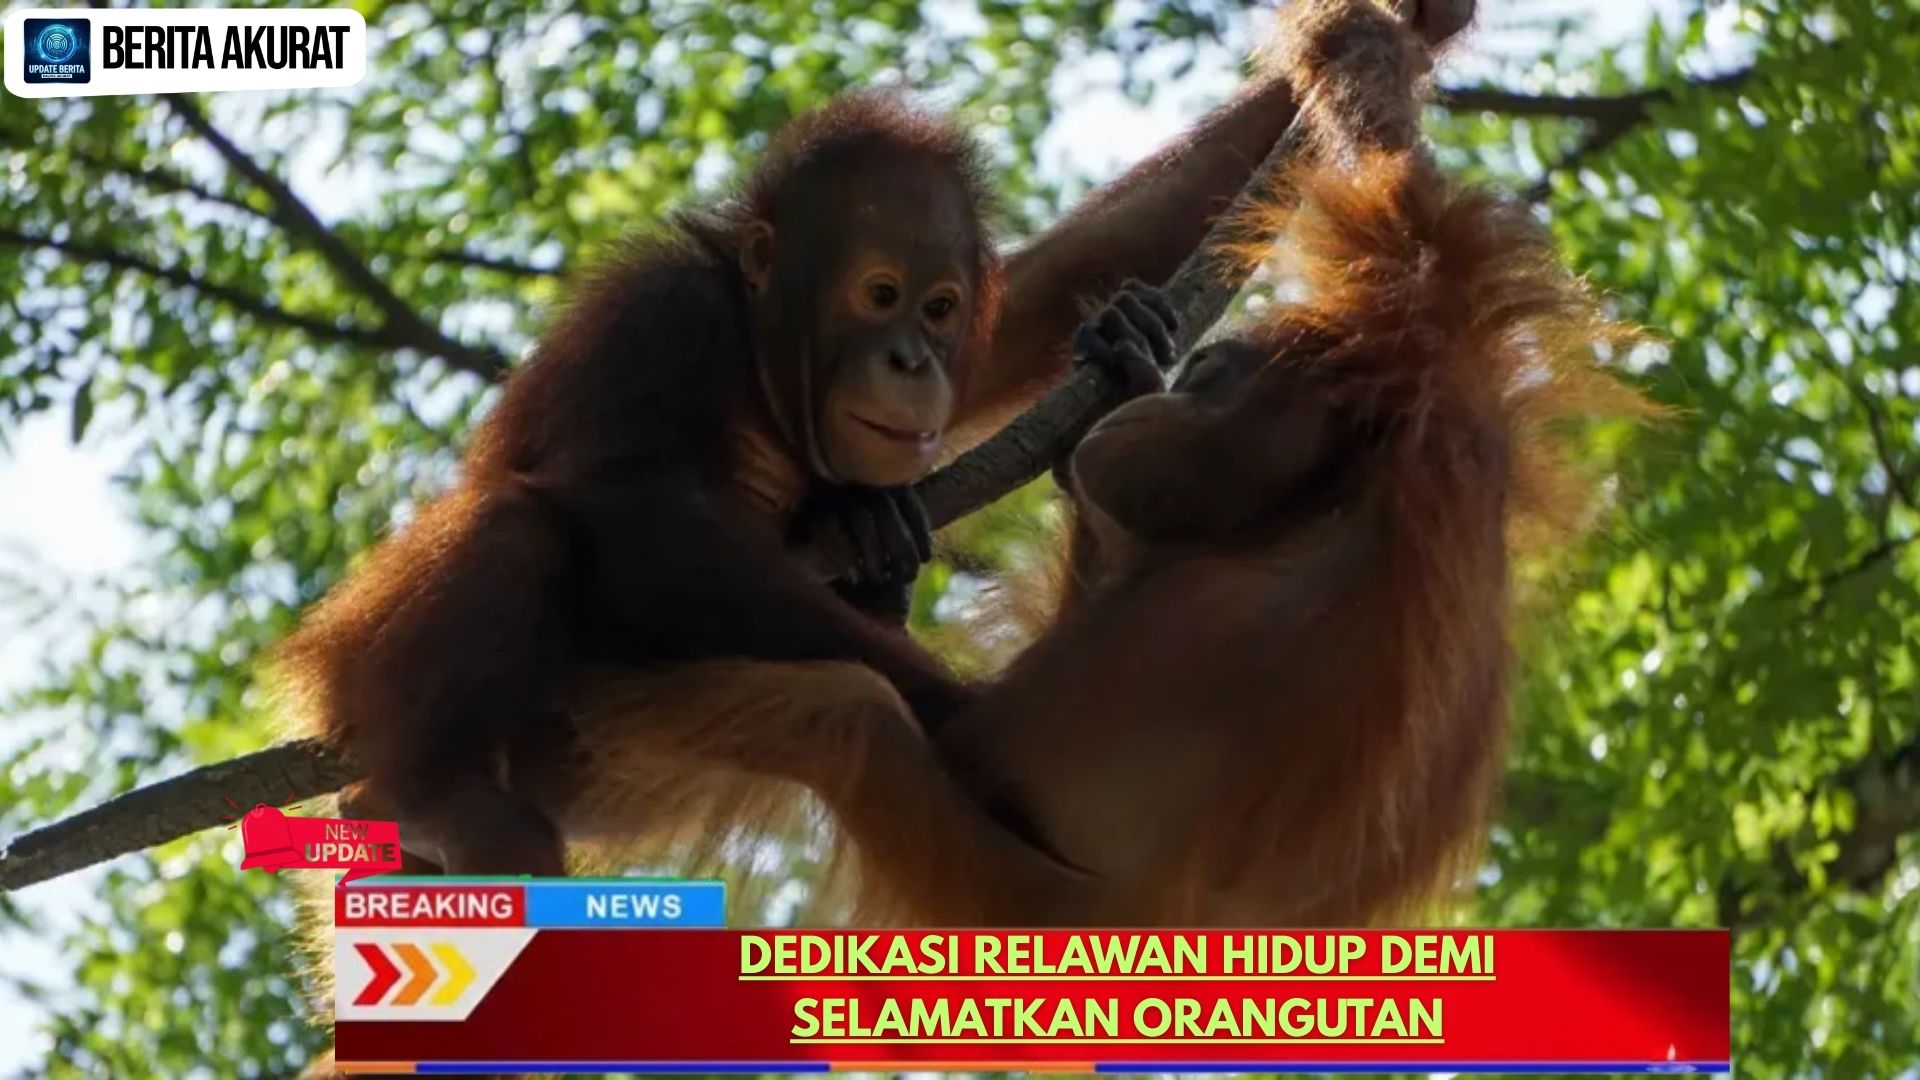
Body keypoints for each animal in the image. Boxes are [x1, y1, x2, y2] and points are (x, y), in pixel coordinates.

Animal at [533, 0, 1653, 927]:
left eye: (1214, 382)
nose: (1166, 394)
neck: (1332, 493)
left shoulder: (1423, 350)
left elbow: (1401, 194)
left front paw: (1366, 58)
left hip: (983, 893)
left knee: (833, 718)